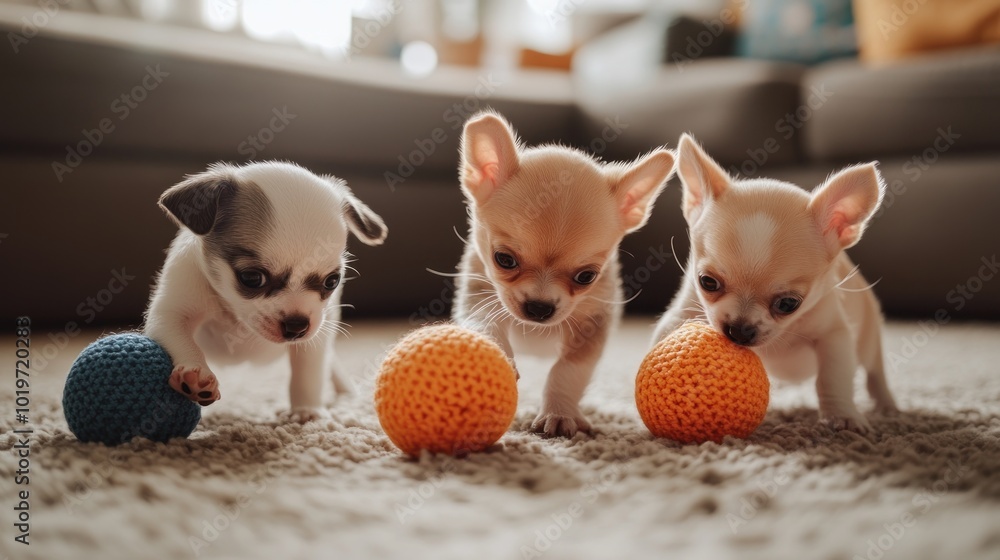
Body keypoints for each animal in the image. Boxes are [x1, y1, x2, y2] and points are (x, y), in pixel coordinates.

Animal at [145, 160, 386, 422]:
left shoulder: (317, 335)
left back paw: (345, 390)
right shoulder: (172, 313)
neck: (233, 315)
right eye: (252, 278)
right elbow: (183, 341)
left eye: (332, 281)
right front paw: (195, 374)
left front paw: (306, 410)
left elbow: (308, 373)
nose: (297, 326)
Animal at [456, 112, 676, 438]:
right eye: (503, 260)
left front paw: (558, 414)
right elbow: (485, 324)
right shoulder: (479, 296)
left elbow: (567, 371)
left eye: (586, 277)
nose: (539, 307)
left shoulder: (591, 326)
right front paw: (498, 356)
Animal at [656, 133, 900, 430]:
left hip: (868, 339)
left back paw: (887, 406)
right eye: (707, 282)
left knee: (875, 372)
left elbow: (832, 377)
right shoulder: (683, 313)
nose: (739, 330)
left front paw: (842, 416)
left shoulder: (834, 336)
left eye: (788, 304)